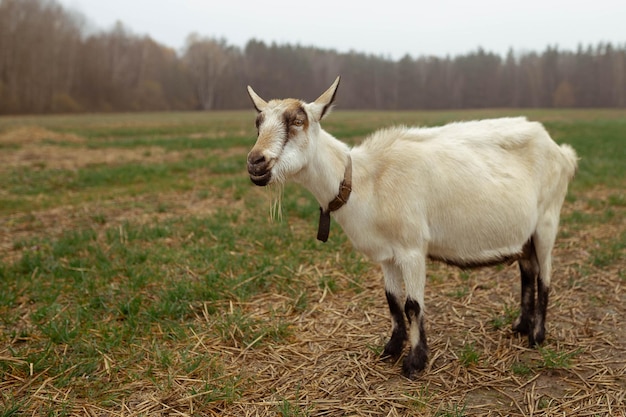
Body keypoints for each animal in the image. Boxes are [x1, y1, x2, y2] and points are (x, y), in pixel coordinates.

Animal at [244, 76, 576, 378]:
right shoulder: (387, 254)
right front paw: (391, 349)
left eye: (298, 121)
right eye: (258, 122)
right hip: (524, 234)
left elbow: (413, 305)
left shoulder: (412, 248)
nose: (255, 162)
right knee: (528, 271)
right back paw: (520, 326)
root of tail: (562, 152)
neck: (365, 180)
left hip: (547, 221)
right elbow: (392, 300)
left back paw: (537, 336)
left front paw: (415, 362)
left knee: (545, 276)